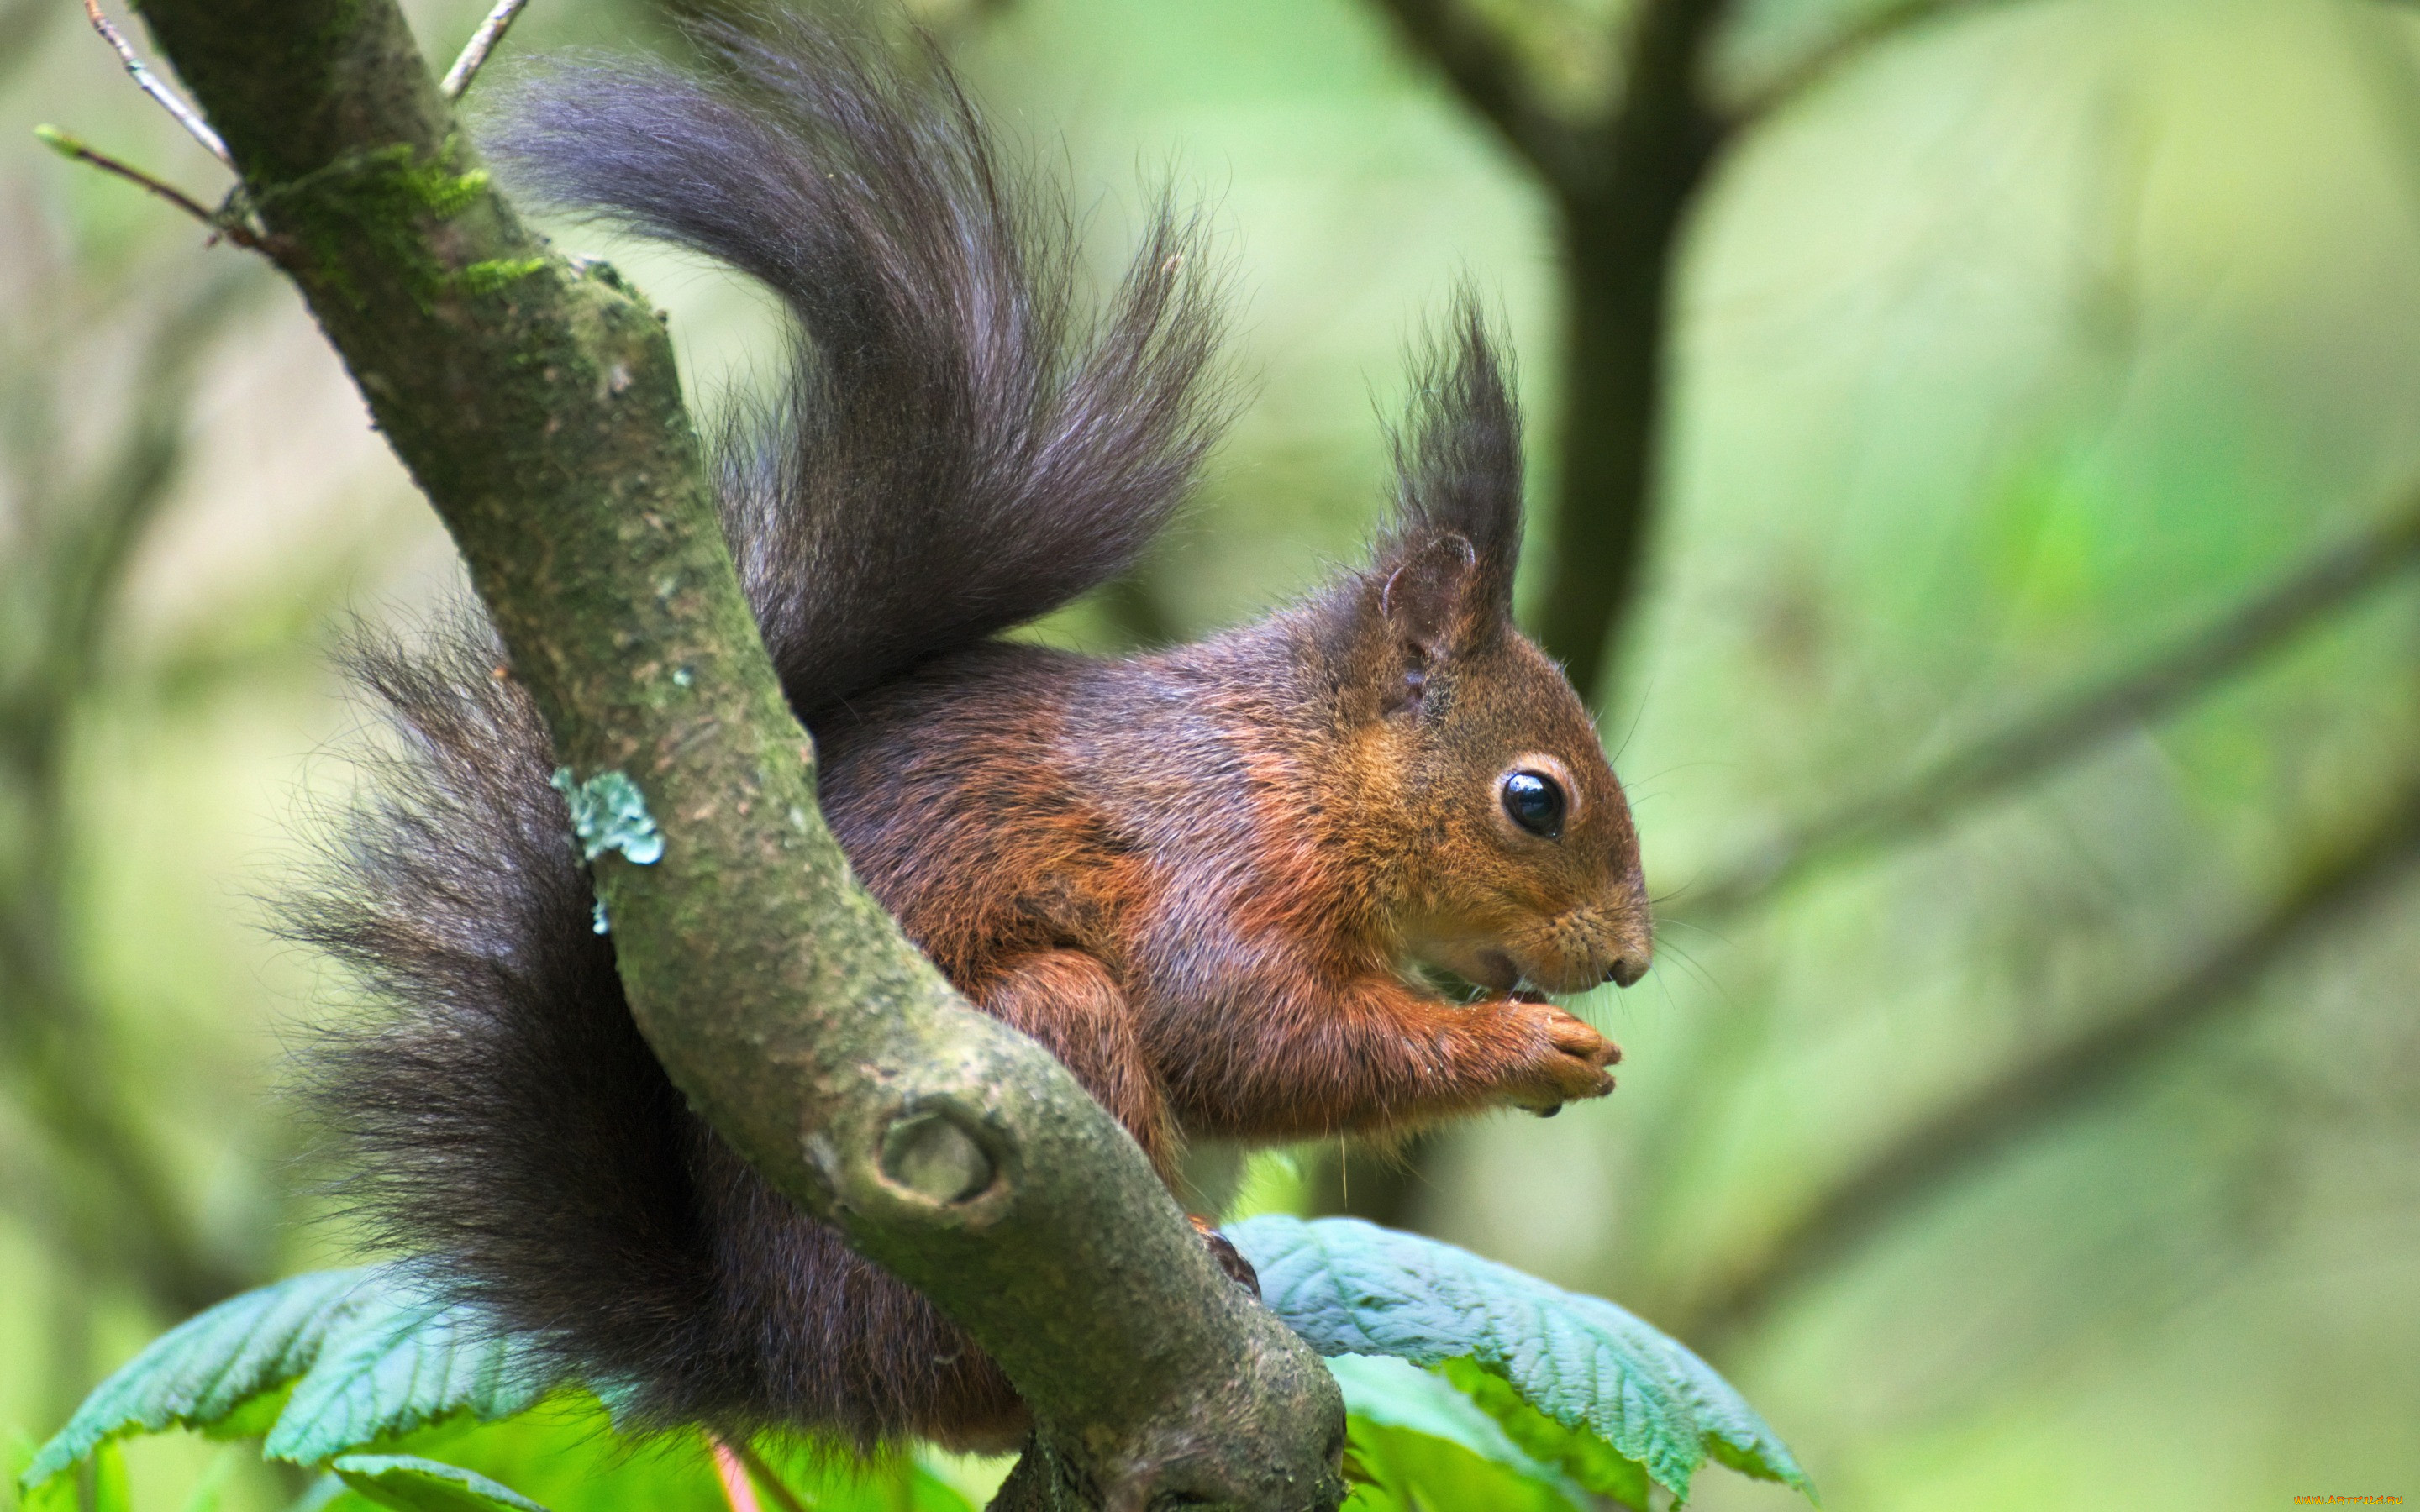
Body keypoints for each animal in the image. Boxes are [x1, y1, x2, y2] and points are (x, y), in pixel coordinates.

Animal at [282, 8, 1645, 1452]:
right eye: (1535, 799)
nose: (1628, 961)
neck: (1303, 764)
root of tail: (793, 1361)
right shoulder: (1216, 862)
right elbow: (1250, 1033)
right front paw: (1529, 1047)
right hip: (1029, 1059)